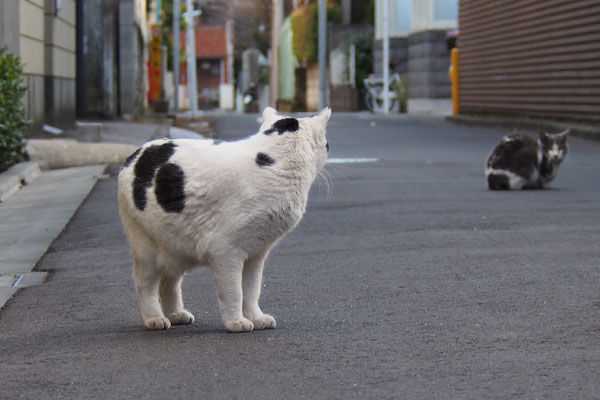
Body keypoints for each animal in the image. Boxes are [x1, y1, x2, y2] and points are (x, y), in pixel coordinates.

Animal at [117, 106, 332, 332]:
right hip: (146, 249)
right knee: (145, 285)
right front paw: (236, 322)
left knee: (169, 282)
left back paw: (176, 314)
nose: (329, 148)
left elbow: (252, 291)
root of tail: (135, 154)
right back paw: (155, 318)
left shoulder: (256, 255)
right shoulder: (226, 251)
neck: (275, 164)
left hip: (174, 246)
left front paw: (256, 318)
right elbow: (234, 292)